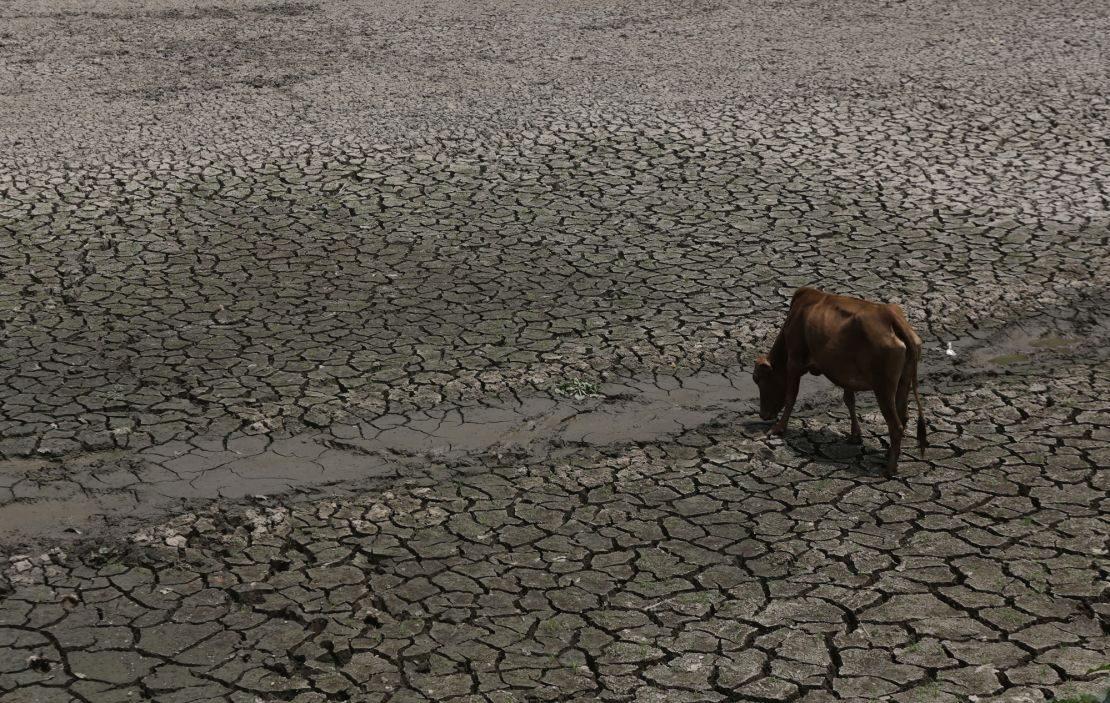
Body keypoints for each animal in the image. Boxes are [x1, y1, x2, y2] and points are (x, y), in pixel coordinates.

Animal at [754, 286, 927, 477]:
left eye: (757, 379)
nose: (763, 415)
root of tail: (890, 315)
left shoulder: (794, 360)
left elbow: (791, 396)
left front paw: (778, 428)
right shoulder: (846, 374)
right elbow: (849, 401)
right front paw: (855, 435)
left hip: (884, 388)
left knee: (896, 425)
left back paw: (889, 468)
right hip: (903, 381)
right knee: (903, 416)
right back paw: (888, 453)